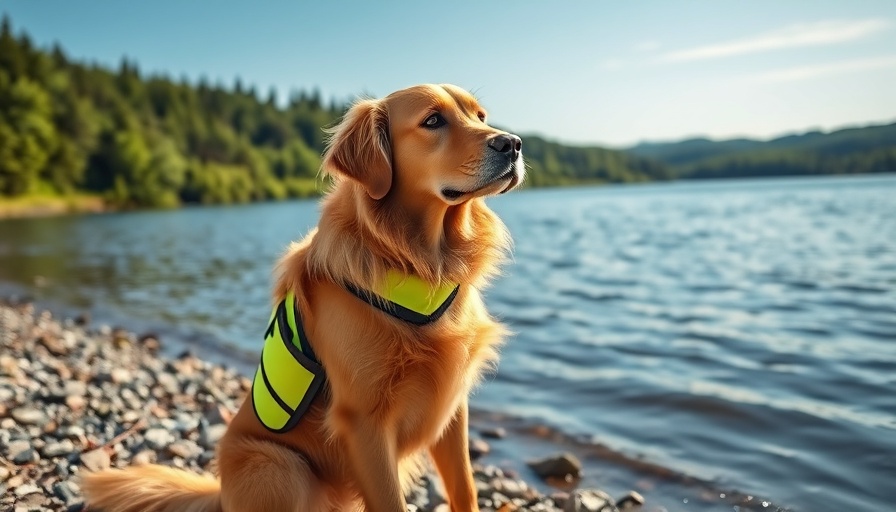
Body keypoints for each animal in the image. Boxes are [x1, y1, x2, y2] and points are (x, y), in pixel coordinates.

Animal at [82, 82, 524, 510]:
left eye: (480, 116)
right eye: (433, 120)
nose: (514, 143)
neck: (421, 261)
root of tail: (220, 492)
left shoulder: (453, 405)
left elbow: (465, 489)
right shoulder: (362, 420)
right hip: (278, 466)